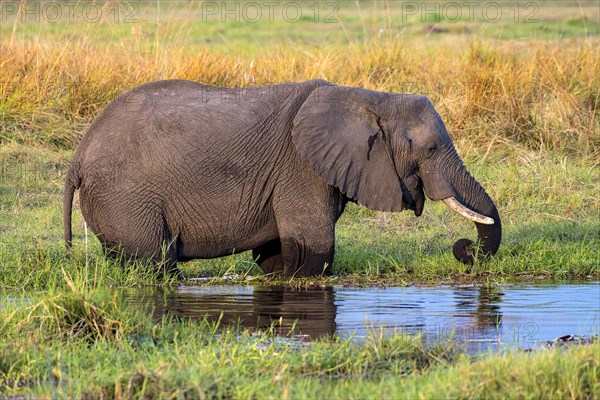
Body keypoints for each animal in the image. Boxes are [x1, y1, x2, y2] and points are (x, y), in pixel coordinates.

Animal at [64, 78, 502, 278]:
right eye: (429, 149)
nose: (463, 249)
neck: (368, 98)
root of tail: (78, 157)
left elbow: (276, 258)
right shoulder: (301, 170)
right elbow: (314, 254)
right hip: (126, 195)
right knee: (154, 263)